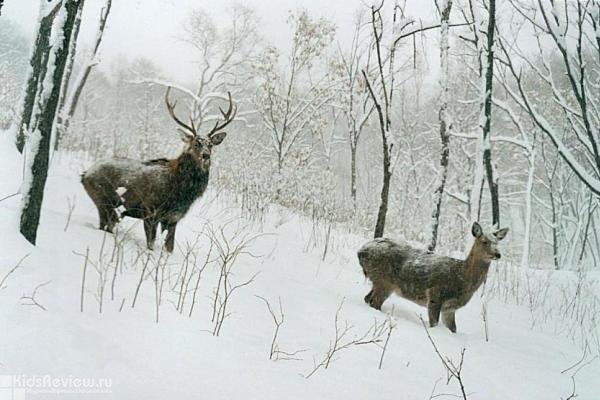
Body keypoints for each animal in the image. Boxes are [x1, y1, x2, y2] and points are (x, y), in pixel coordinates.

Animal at [82, 88, 237, 252]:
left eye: (210, 145)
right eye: (196, 143)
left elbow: (169, 248)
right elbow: (150, 244)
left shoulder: (173, 218)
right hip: (104, 201)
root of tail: (85, 174)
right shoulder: (150, 212)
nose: (206, 155)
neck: (181, 192)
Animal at [358, 223, 508, 332]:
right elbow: (434, 323)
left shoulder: (450, 308)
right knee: (374, 303)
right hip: (384, 280)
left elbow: (453, 329)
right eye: (484, 241)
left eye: (497, 242)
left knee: (367, 298)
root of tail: (361, 251)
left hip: (379, 281)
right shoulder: (436, 295)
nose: (498, 254)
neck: (461, 278)